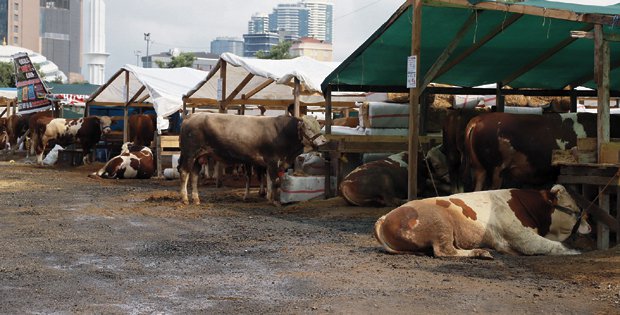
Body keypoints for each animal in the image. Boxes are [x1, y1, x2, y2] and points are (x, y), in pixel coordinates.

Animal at [177, 113, 326, 205]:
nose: (323, 141)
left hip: (199, 157)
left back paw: (196, 199)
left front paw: (270, 197)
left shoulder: (277, 163)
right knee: (184, 173)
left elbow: (274, 180)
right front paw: (273, 201)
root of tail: (192, 115)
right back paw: (184, 198)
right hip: (190, 155)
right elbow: (274, 180)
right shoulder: (272, 160)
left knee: (194, 176)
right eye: (308, 128)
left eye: (319, 126)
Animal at [372, 184, 592, 260]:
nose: (589, 225)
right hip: (441, 223)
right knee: (444, 251)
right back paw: (480, 253)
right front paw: (574, 251)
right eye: (572, 207)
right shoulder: (523, 237)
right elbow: (550, 245)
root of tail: (385, 218)